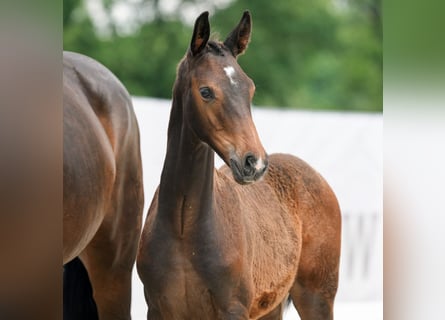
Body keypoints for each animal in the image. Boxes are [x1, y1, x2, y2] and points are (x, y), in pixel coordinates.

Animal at [135, 11, 340, 318]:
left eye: (250, 90)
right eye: (206, 91)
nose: (254, 162)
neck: (184, 227)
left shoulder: (233, 309)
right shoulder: (158, 309)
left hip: (317, 298)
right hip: (271, 307)